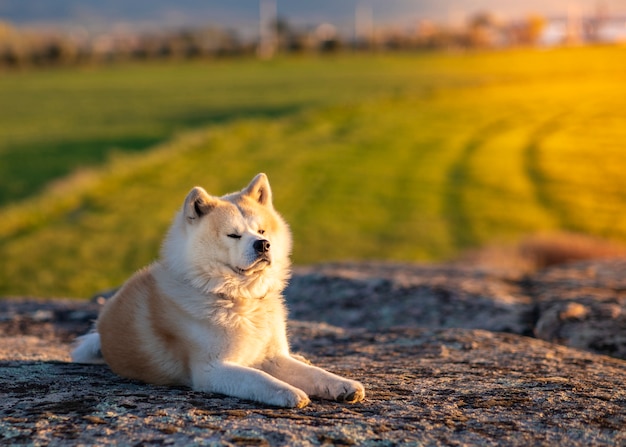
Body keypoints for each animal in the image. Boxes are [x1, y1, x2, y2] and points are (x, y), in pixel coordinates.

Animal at [72, 174, 366, 410]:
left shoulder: (270, 356)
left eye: (261, 230)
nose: (263, 244)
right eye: (233, 235)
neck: (241, 299)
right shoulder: (212, 369)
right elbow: (258, 378)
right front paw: (288, 391)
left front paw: (341, 384)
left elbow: (314, 374)